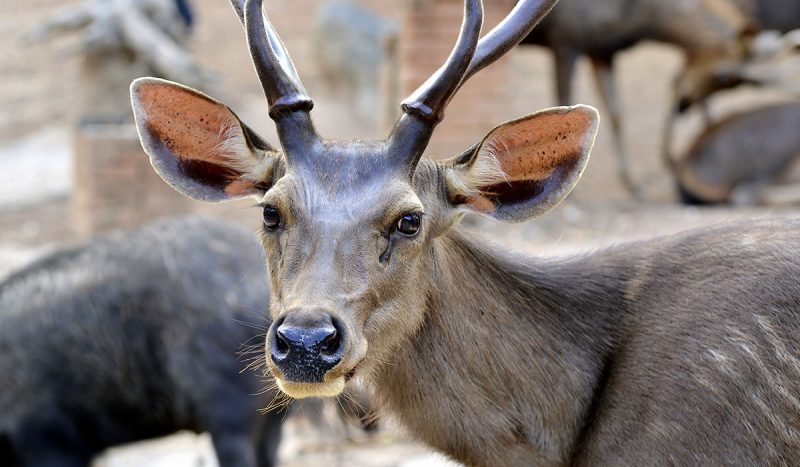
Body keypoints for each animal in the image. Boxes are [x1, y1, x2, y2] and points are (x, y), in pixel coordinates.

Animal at [518, 0, 759, 196]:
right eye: (722, 76)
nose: (684, 103)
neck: (641, 22)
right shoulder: (566, 42)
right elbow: (564, 103)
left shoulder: (601, 50)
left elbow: (615, 112)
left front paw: (632, 183)